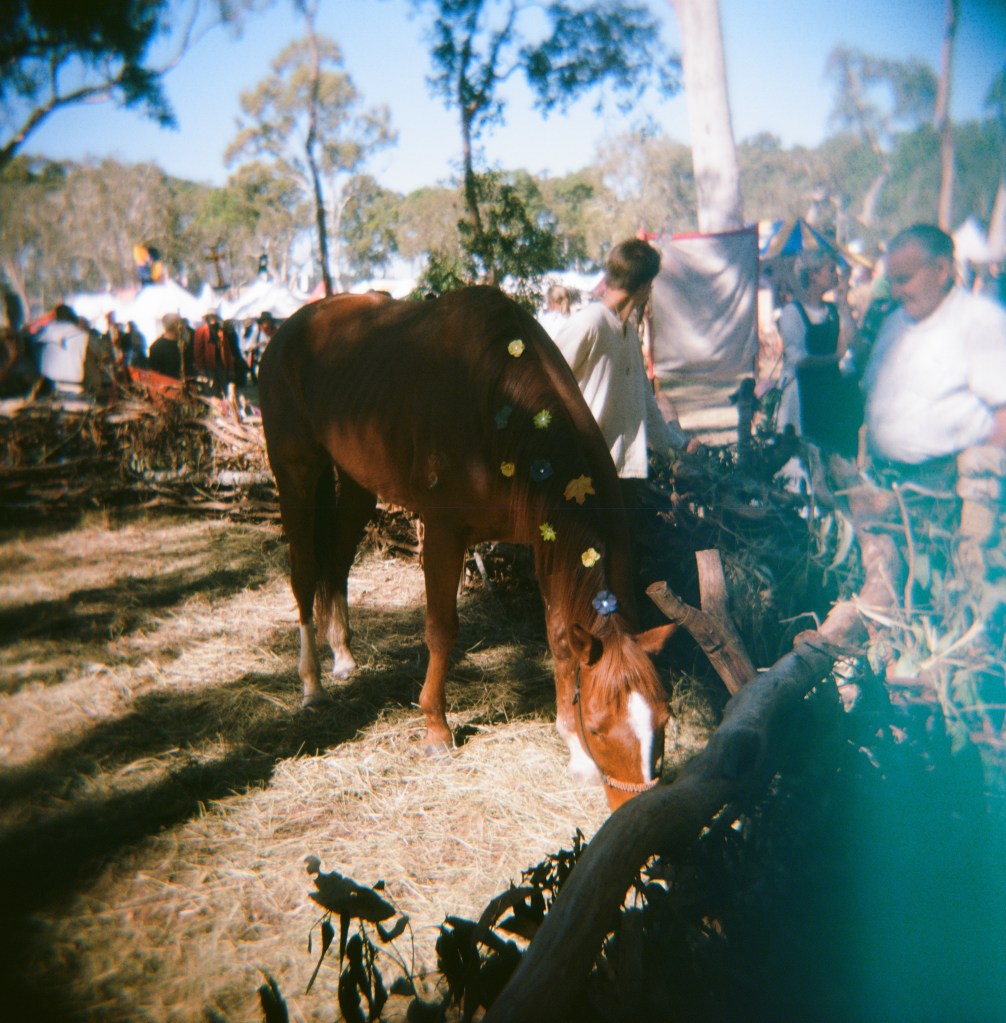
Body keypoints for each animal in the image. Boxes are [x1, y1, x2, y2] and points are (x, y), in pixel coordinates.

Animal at [258, 285, 675, 809]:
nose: (639, 805)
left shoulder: (545, 540)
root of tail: (285, 332)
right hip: (296, 471)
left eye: (664, 719)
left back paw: (344, 656)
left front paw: (574, 752)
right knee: (304, 570)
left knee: (337, 561)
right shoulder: (442, 533)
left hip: (356, 483)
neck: (501, 406)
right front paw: (436, 730)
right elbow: (441, 631)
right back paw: (311, 682)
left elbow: (560, 635)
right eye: (599, 727)